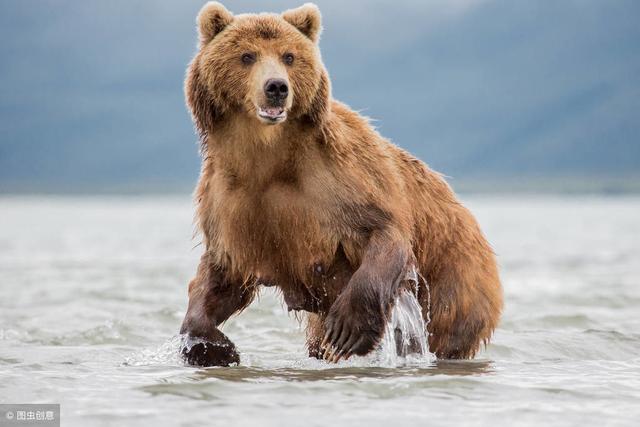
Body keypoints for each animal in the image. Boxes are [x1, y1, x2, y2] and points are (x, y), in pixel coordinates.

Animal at [179, 2, 503, 367]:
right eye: (247, 56)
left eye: (289, 56)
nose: (276, 87)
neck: (268, 157)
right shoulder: (230, 202)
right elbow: (221, 276)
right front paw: (213, 347)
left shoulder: (339, 179)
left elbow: (384, 231)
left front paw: (348, 328)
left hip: (455, 275)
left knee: (445, 328)